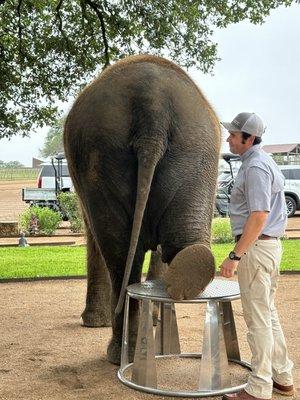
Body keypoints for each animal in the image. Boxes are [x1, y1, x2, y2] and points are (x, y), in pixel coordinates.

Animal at [63, 54, 221, 364]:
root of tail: (152, 103)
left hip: (104, 157)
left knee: (121, 254)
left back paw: (119, 353)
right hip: (194, 152)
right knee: (173, 244)